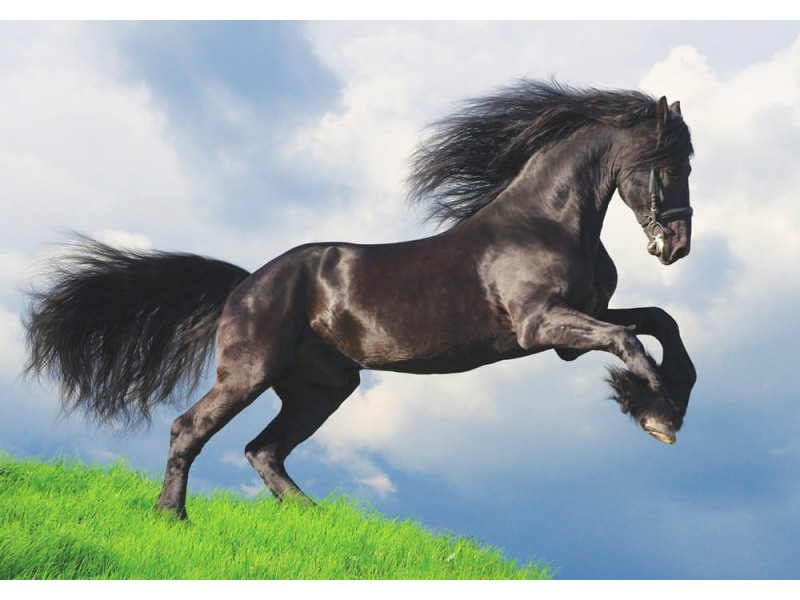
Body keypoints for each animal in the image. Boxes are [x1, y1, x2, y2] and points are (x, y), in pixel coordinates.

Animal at [25, 81, 697, 519]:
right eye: (670, 166)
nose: (677, 246)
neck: (546, 223)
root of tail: (244, 284)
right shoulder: (542, 327)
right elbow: (631, 339)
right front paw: (657, 416)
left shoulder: (574, 327)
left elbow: (659, 323)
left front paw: (669, 400)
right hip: (250, 371)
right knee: (192, 428)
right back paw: (172, 516)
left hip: (322, 386)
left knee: (263, 449)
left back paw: (315, 519)